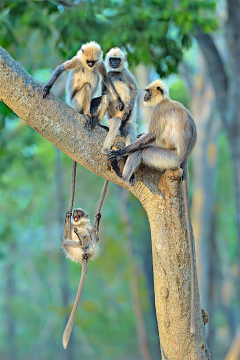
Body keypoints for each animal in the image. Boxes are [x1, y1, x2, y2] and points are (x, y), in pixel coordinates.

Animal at [109, 79, 198, 334]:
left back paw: (122, 173)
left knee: (144, 151)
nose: (145, 96)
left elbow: (150, 137)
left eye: (148, 92)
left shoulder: (159, 111)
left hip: (167, 159)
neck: (166, 101)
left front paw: (122, 151)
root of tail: (183, 160)